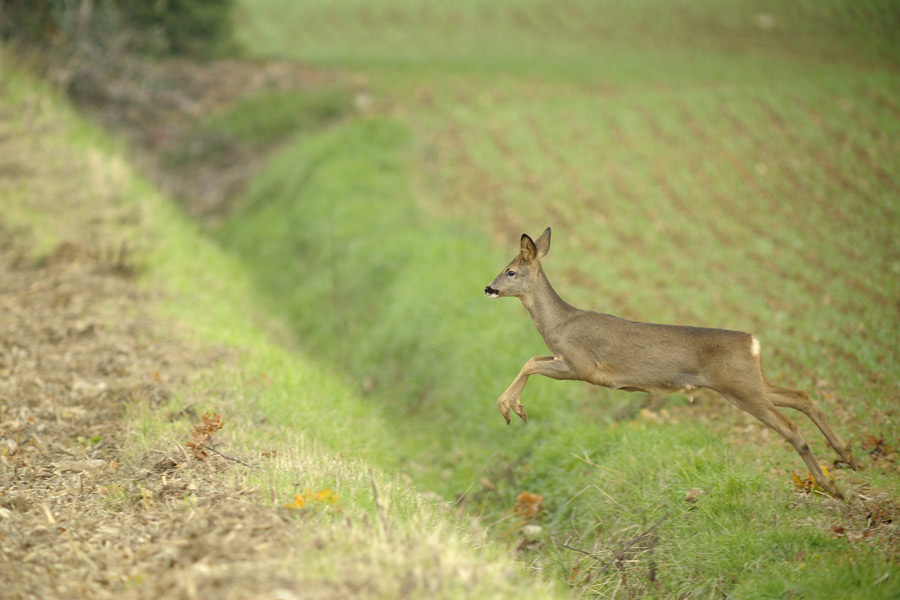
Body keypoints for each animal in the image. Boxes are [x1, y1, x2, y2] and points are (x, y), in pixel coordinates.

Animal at [482, 227, 860, 500]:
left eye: (510, 271)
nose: (488, 288)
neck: (558, 325)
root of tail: (753, 342)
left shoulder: (581, 365)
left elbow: (530, 361)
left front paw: (509, 408)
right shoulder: (569, 362)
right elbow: (533, 358)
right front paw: (514, 408)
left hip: (742, 389)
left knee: (791, 427)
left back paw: (832, 487)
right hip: (750, 383)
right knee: (802, 396)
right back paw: (848, 456)